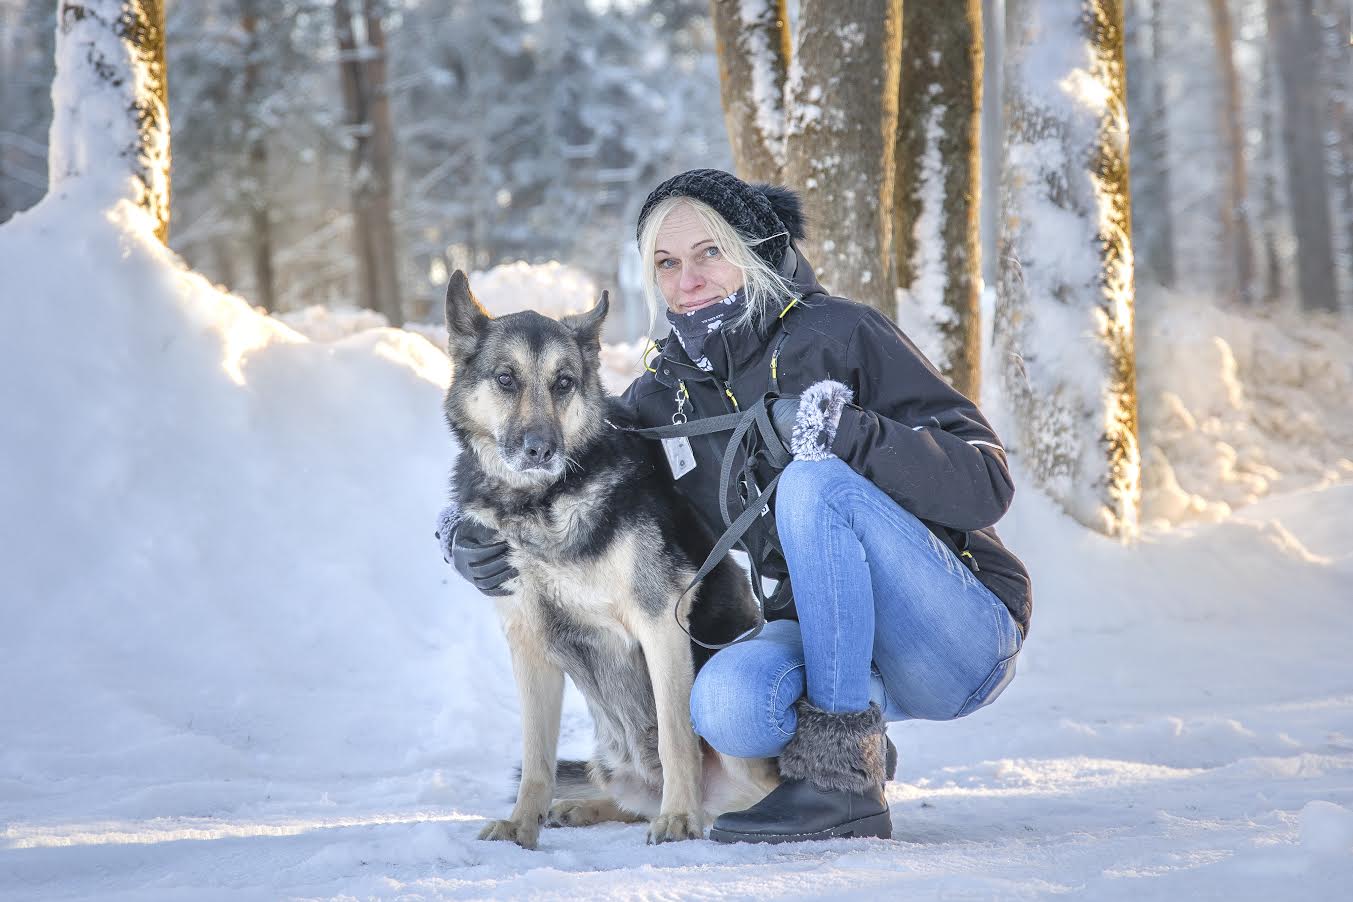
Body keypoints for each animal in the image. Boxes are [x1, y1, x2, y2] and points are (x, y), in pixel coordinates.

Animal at [443, 271, 784, 849]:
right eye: (506, 379)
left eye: (563, 383)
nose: (540, 448)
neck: (541, 503)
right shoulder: (528, 644)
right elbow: (536, 759)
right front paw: (522, 825)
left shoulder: (658, 624)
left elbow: (675, 738)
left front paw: (679, 818)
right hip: (609, 761)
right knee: (626, 800)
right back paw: (580, 809)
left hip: (736, 748)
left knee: (744, 790)